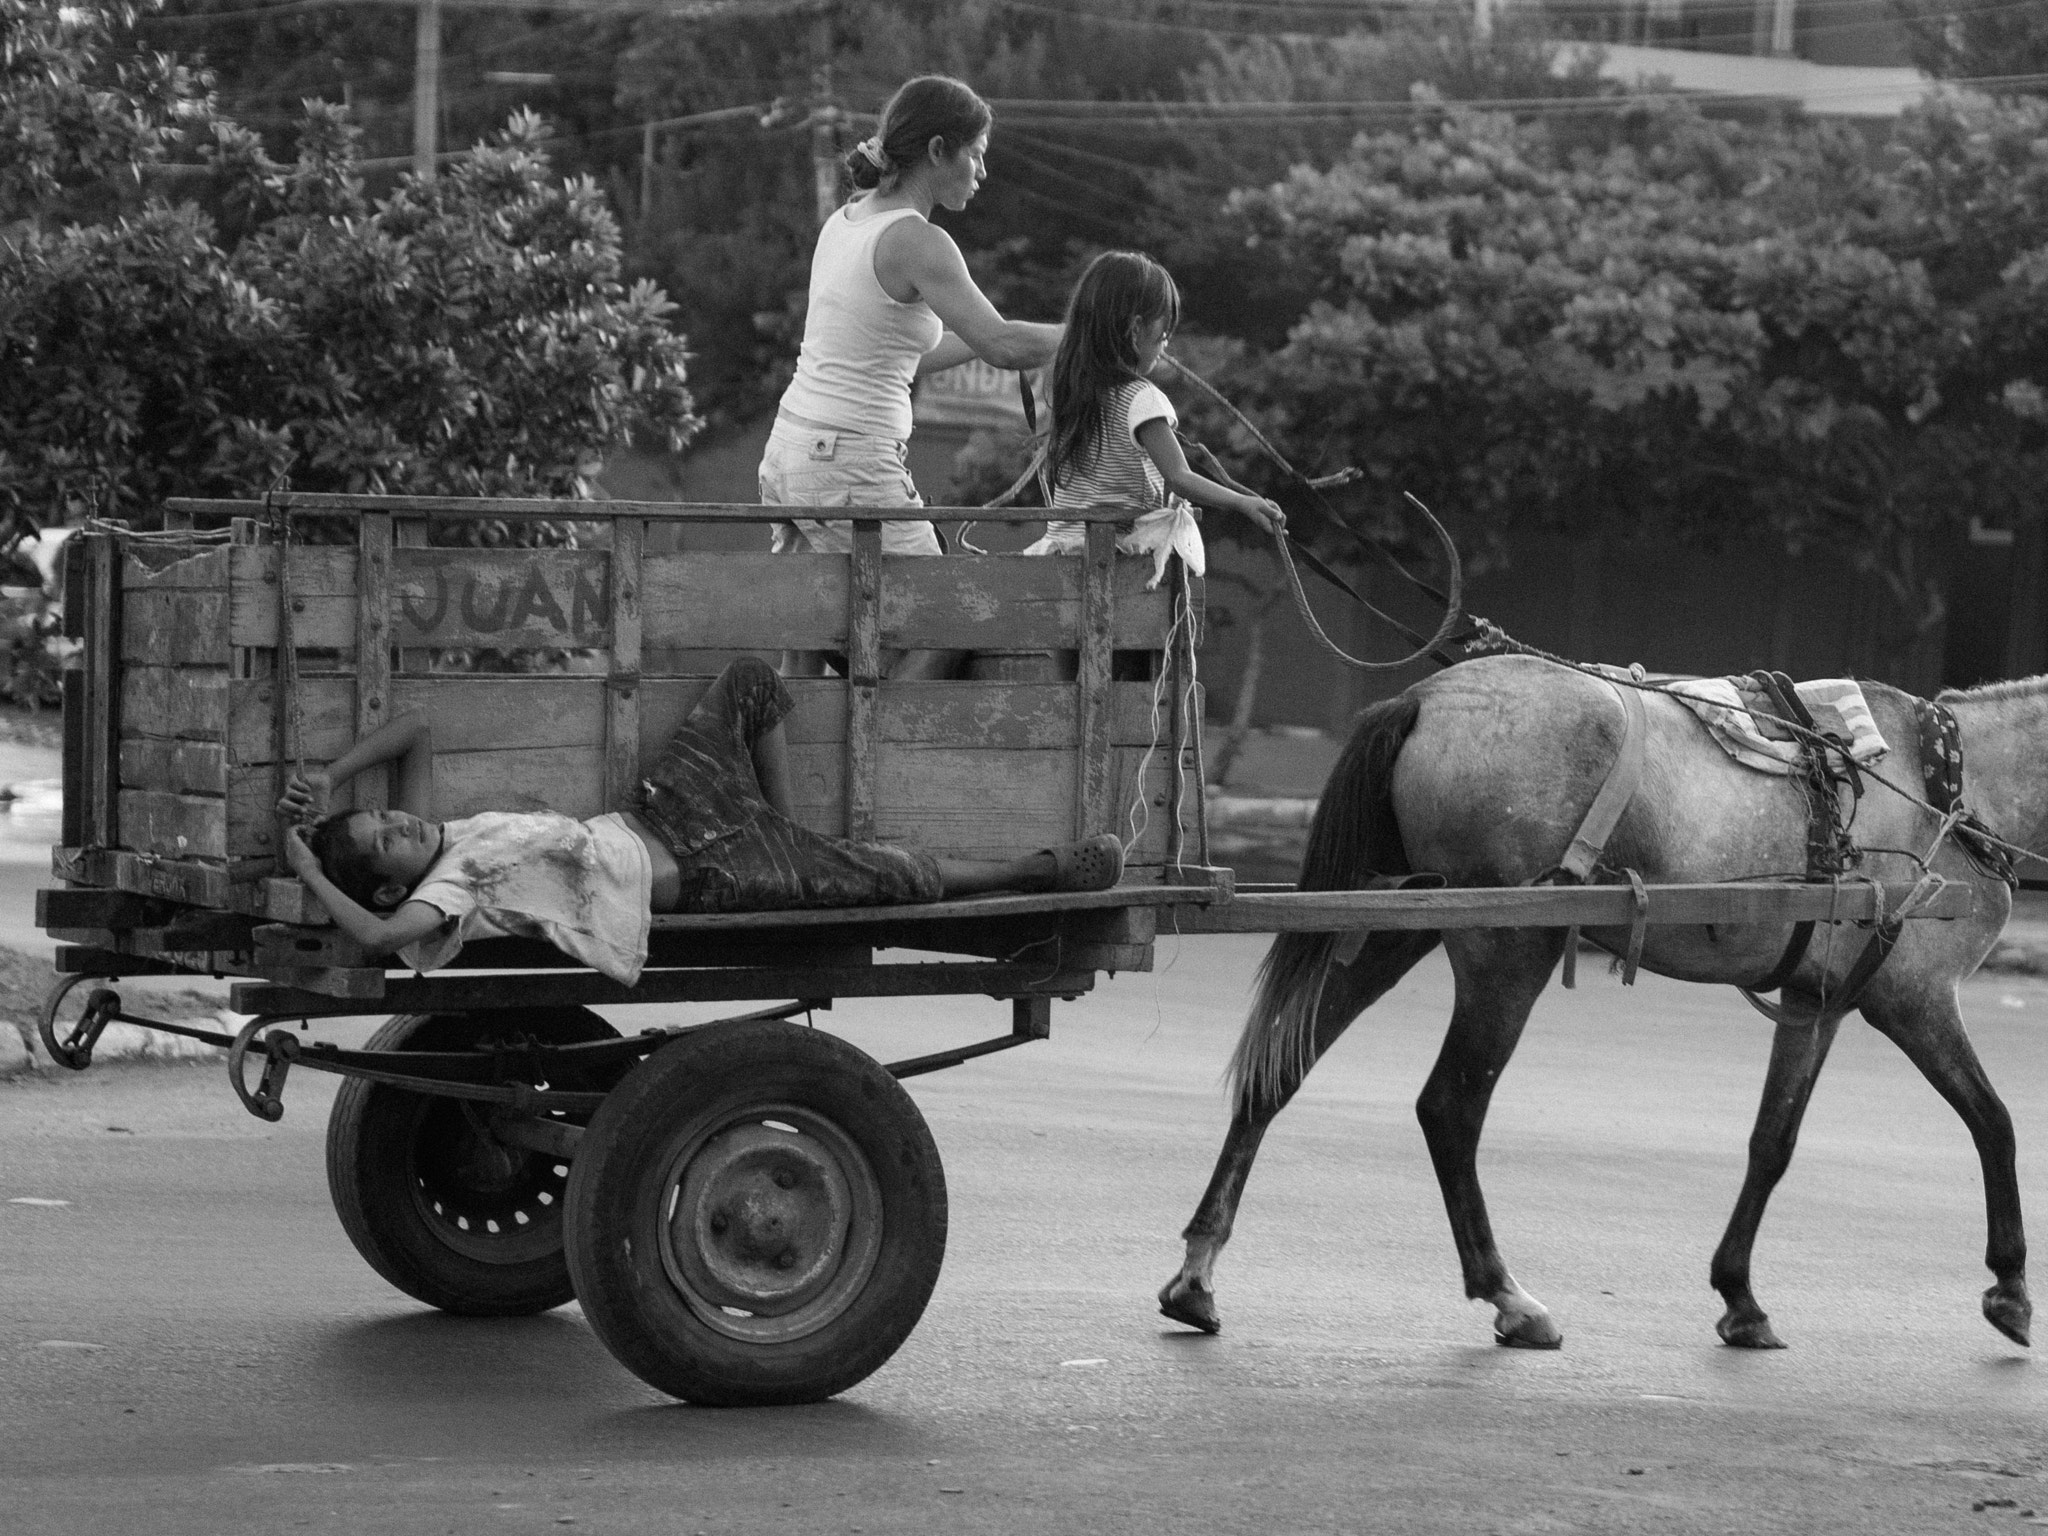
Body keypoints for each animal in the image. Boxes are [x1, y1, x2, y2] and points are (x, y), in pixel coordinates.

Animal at [1163, 655, 2039, 1351]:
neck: (1952, 784)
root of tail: (1423, 699)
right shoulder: (1914, 996)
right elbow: (1994, 1122)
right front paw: (2011, 1288)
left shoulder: (1817, 996)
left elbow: (1773, 1143)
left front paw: (1740, 1296)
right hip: (1509, 947)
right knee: (1450, 1107)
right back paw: (1508, 1298)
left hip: (1391, 923)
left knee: (1280, 1071)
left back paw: (1197, 1276)